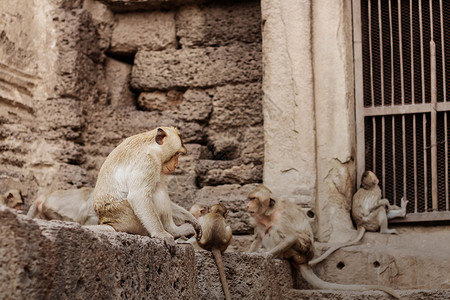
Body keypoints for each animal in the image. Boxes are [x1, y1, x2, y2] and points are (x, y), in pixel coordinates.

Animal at [248, 185, 400, 298]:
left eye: (253, 199)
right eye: (249, 198)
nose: (248, 205)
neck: (269, 213)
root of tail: (305, 260)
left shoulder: (282, 216)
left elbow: (291, 237)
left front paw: (266, 255)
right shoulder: (258, 219)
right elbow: (258, 238)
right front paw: (250, 252)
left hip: (298, 250)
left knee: (274, 230)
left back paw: (278, 255)